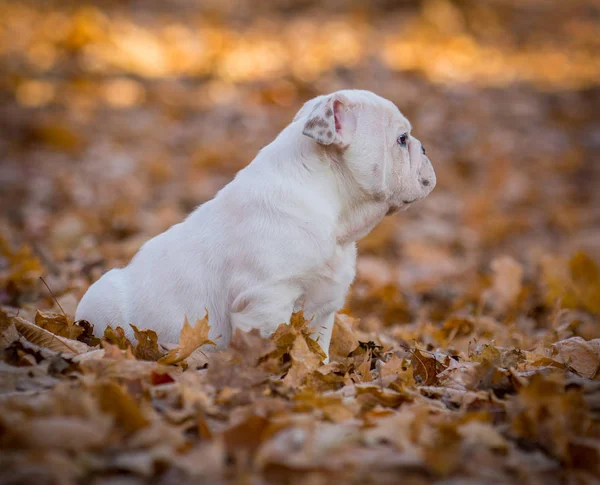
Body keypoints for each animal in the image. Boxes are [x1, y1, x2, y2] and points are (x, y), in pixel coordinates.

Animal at [77, 91, 438, 362]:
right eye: (402, 139)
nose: (424, 146)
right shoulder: (267, 301)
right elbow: (272, 347)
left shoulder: (323, 308)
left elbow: (317, 351)